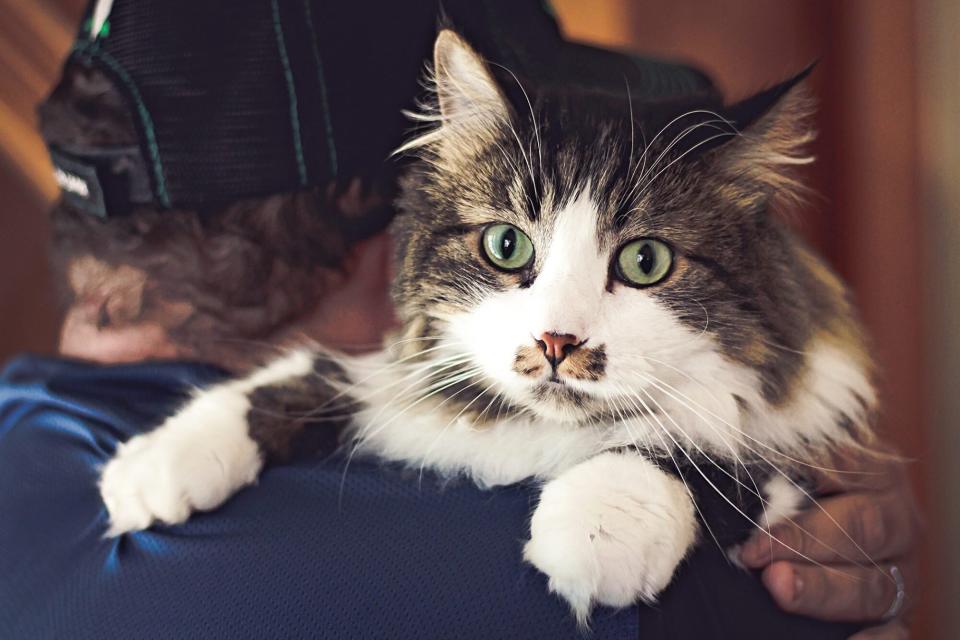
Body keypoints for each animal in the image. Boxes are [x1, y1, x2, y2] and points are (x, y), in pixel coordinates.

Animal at [99, 27, 876, 624]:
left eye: (646, 261)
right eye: (507, 246)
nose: (558, 342)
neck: (537, 436)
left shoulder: (804, 454)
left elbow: (699, 453)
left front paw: (597, 527)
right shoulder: (399, 376)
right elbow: (307, 373)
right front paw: (155, 466)